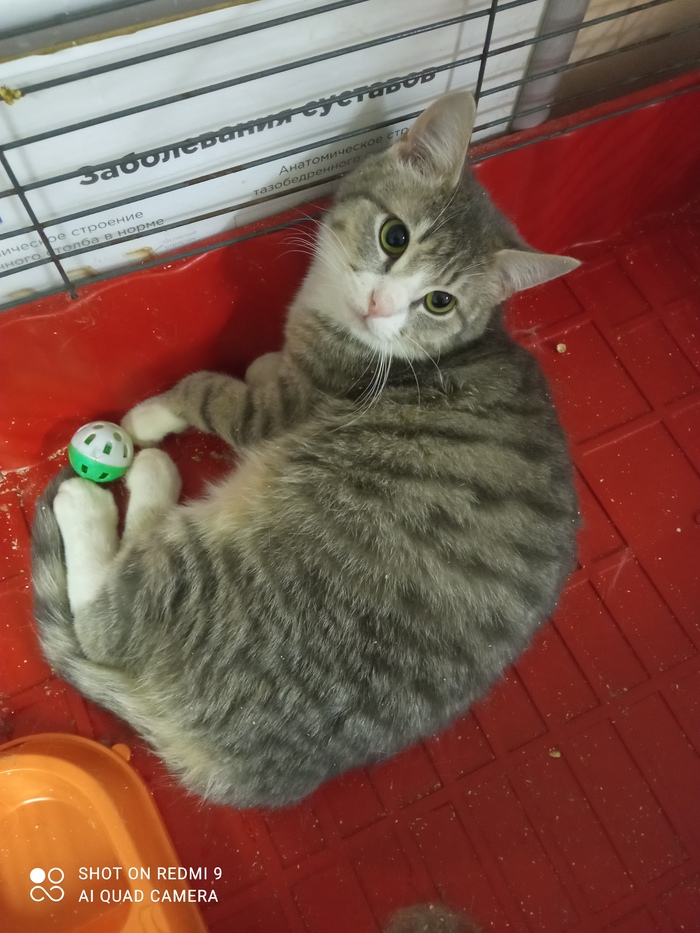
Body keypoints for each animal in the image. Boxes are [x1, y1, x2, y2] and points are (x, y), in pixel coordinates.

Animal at [32, 91, 579, 808]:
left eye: (439, 302)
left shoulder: (281, 411)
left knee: (108, 621)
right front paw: (264, 358)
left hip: (233, 562)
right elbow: (263, 365)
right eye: (394, 236)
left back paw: (119, 492)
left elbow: (210, 391)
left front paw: (154, 413)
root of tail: (251, 772)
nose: (380, 305)